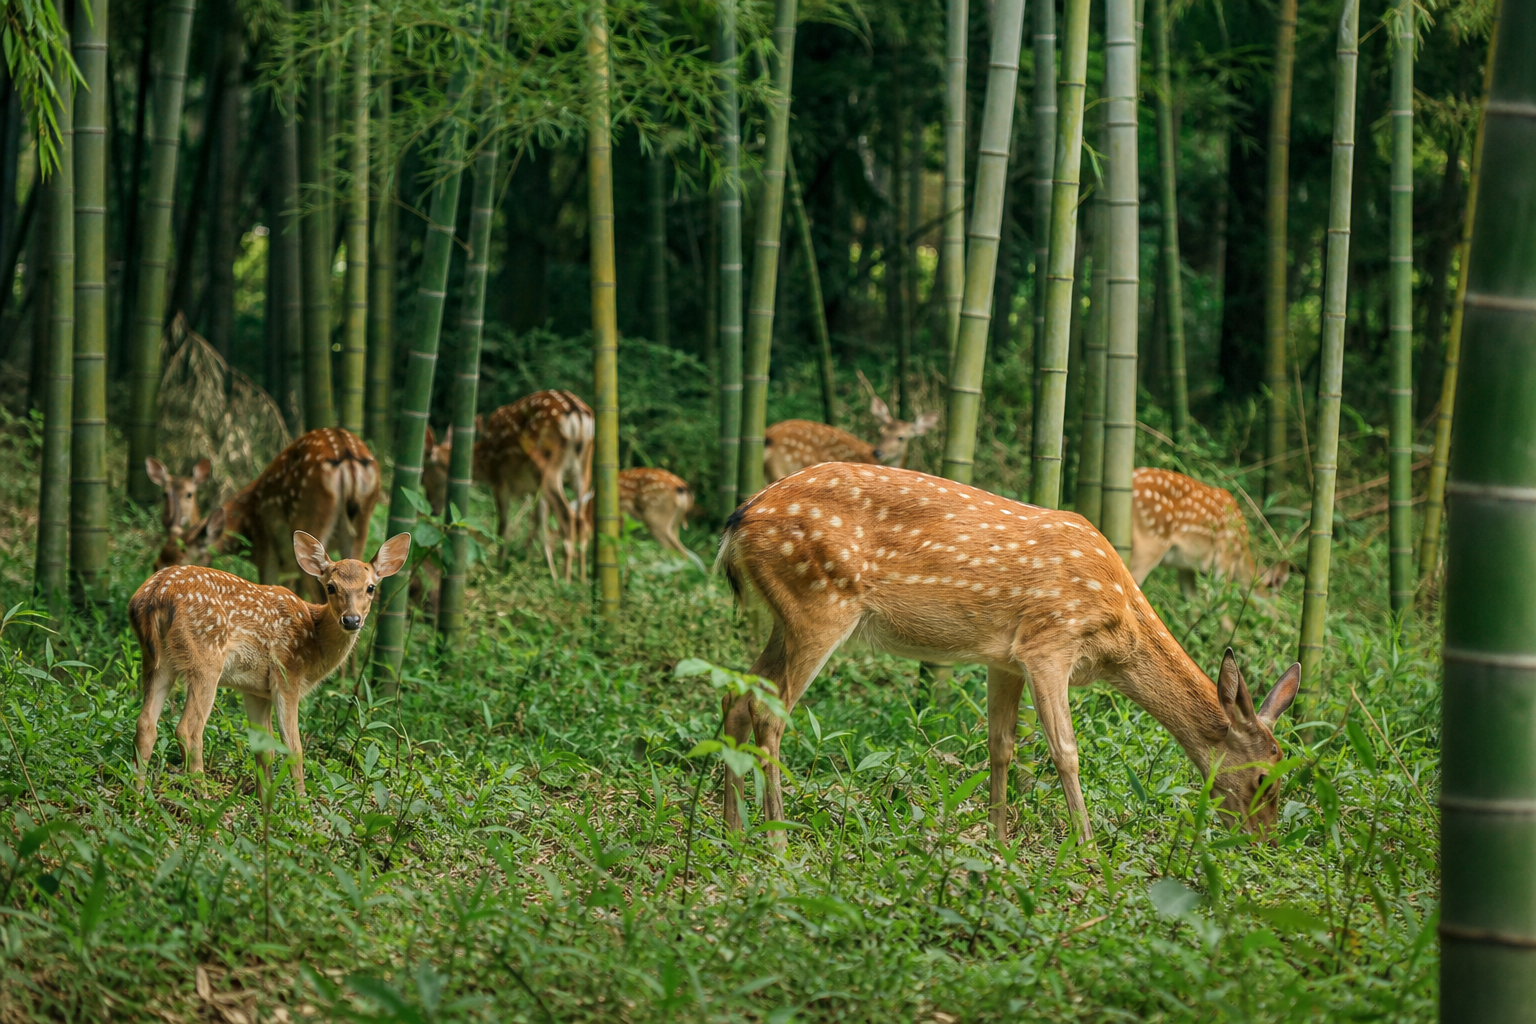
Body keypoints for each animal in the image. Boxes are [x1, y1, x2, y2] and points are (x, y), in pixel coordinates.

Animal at [131, 530, 411, 794]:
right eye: (331, 587)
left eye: (371, 587)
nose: (351, 620)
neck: (315, 640)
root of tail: (155, 594)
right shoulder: (288, 672)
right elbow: (294, 748)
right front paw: (300, 802)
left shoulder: (255, 690)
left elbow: (265, 749)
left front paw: (264, 801)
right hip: (206, 657)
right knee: (188, 729)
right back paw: (203, 798)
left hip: (157, 660)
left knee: (145, 723)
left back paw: (138, 794)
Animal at [155, 429, 382, 600]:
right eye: (158, 563)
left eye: (178, 562)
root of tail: (346, 453)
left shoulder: (267, 551)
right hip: (359, 526)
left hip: (311, 521)